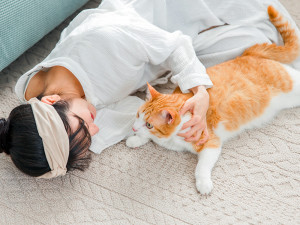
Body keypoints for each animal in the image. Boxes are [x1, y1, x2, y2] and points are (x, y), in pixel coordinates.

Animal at [125, 6, 300, 194]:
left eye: (149, 124)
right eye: (138, 115)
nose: (133, 127)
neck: (172, 138)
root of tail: (248, 54)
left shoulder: (211, 143)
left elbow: (201, 167)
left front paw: (203, 183)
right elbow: (148, 138)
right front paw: (136, 138)